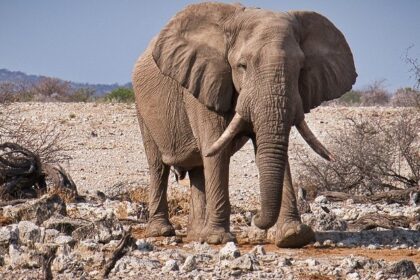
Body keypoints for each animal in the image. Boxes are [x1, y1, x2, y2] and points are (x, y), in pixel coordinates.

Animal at [131, 2, 354, 247]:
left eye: (300, 69)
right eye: (242, 66)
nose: (255, 219)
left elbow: (273, 150)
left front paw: (294, 236)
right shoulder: (204, 84)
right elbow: (215, 150)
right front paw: (218, 239)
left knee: (198, 169)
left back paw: (196, 235)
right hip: (142, 108)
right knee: (158, 166)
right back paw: (162, 232)